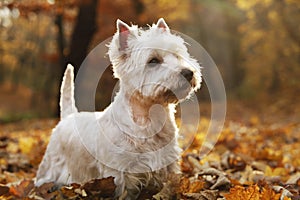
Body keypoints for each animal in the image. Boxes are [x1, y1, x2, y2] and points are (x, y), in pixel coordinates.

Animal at [36, 18, 203, 198]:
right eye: (153, 61)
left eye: (177, 55)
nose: (188, 73)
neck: (149, 117)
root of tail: (68, 117)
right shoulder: (119, 171)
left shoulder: (168, 163)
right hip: (52, 163)